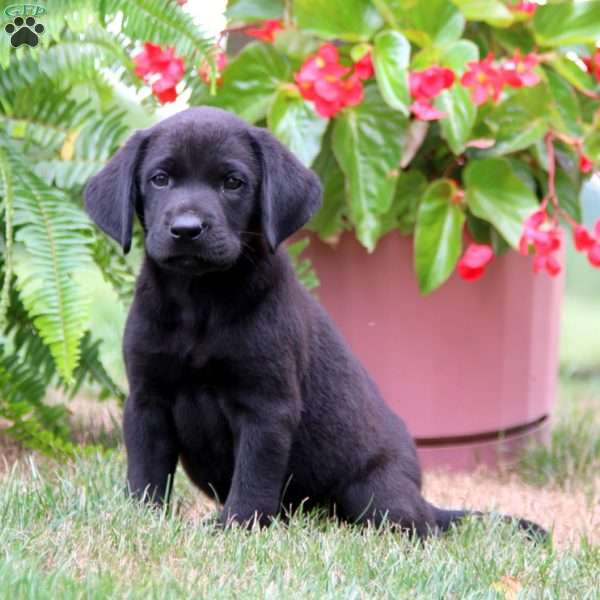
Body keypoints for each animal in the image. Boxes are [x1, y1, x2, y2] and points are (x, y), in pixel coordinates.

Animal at [86, 108, 548, 540]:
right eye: (160, 179)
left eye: (233, 183)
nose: (187, 229)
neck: (199, 302)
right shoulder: (147, 399)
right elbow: (146, 471)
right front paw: (143, 519)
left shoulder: (267, 408)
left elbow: (253, 479)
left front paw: (234, 527)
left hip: (374, 491)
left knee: (416, 526)